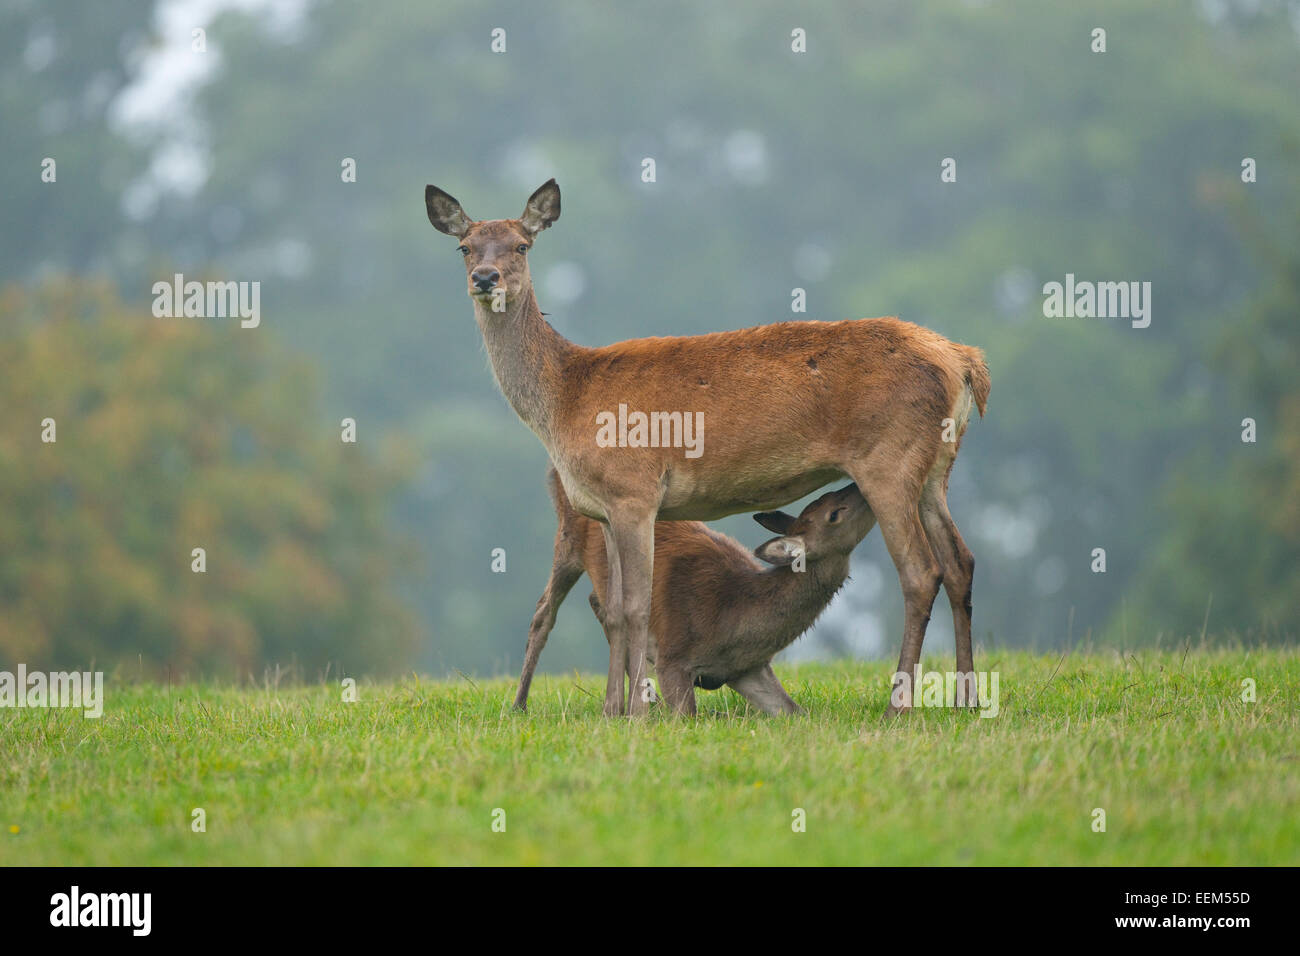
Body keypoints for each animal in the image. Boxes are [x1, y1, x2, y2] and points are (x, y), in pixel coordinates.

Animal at [421, 179, 987, 717]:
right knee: (960, 561)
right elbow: (615, 609)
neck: (564, 402)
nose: (486, 278)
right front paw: (612, 712)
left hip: (888, 457)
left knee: (921, 571)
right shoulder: (600, 509)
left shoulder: (633, 490)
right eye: (465, 247)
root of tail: (963, 361)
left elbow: (636, 608)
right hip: (936, 467)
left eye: (522, 245)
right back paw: (966, 700)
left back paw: (898, 707)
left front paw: (638, 714)